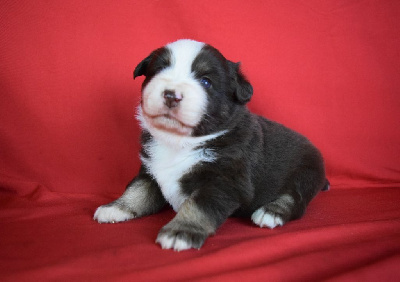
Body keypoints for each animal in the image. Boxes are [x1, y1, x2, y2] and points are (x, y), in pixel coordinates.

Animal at [94, 38, 328, 251]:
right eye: (159, 70)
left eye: (206, 81)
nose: (171, 95)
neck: (179, 142)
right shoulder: (150, 169)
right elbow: (137, 190)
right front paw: (116, 208)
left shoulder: (223, 180)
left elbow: (198, 206)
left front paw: (181, 232)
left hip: (306, 172)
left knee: (295, 199)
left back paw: (271, 212)